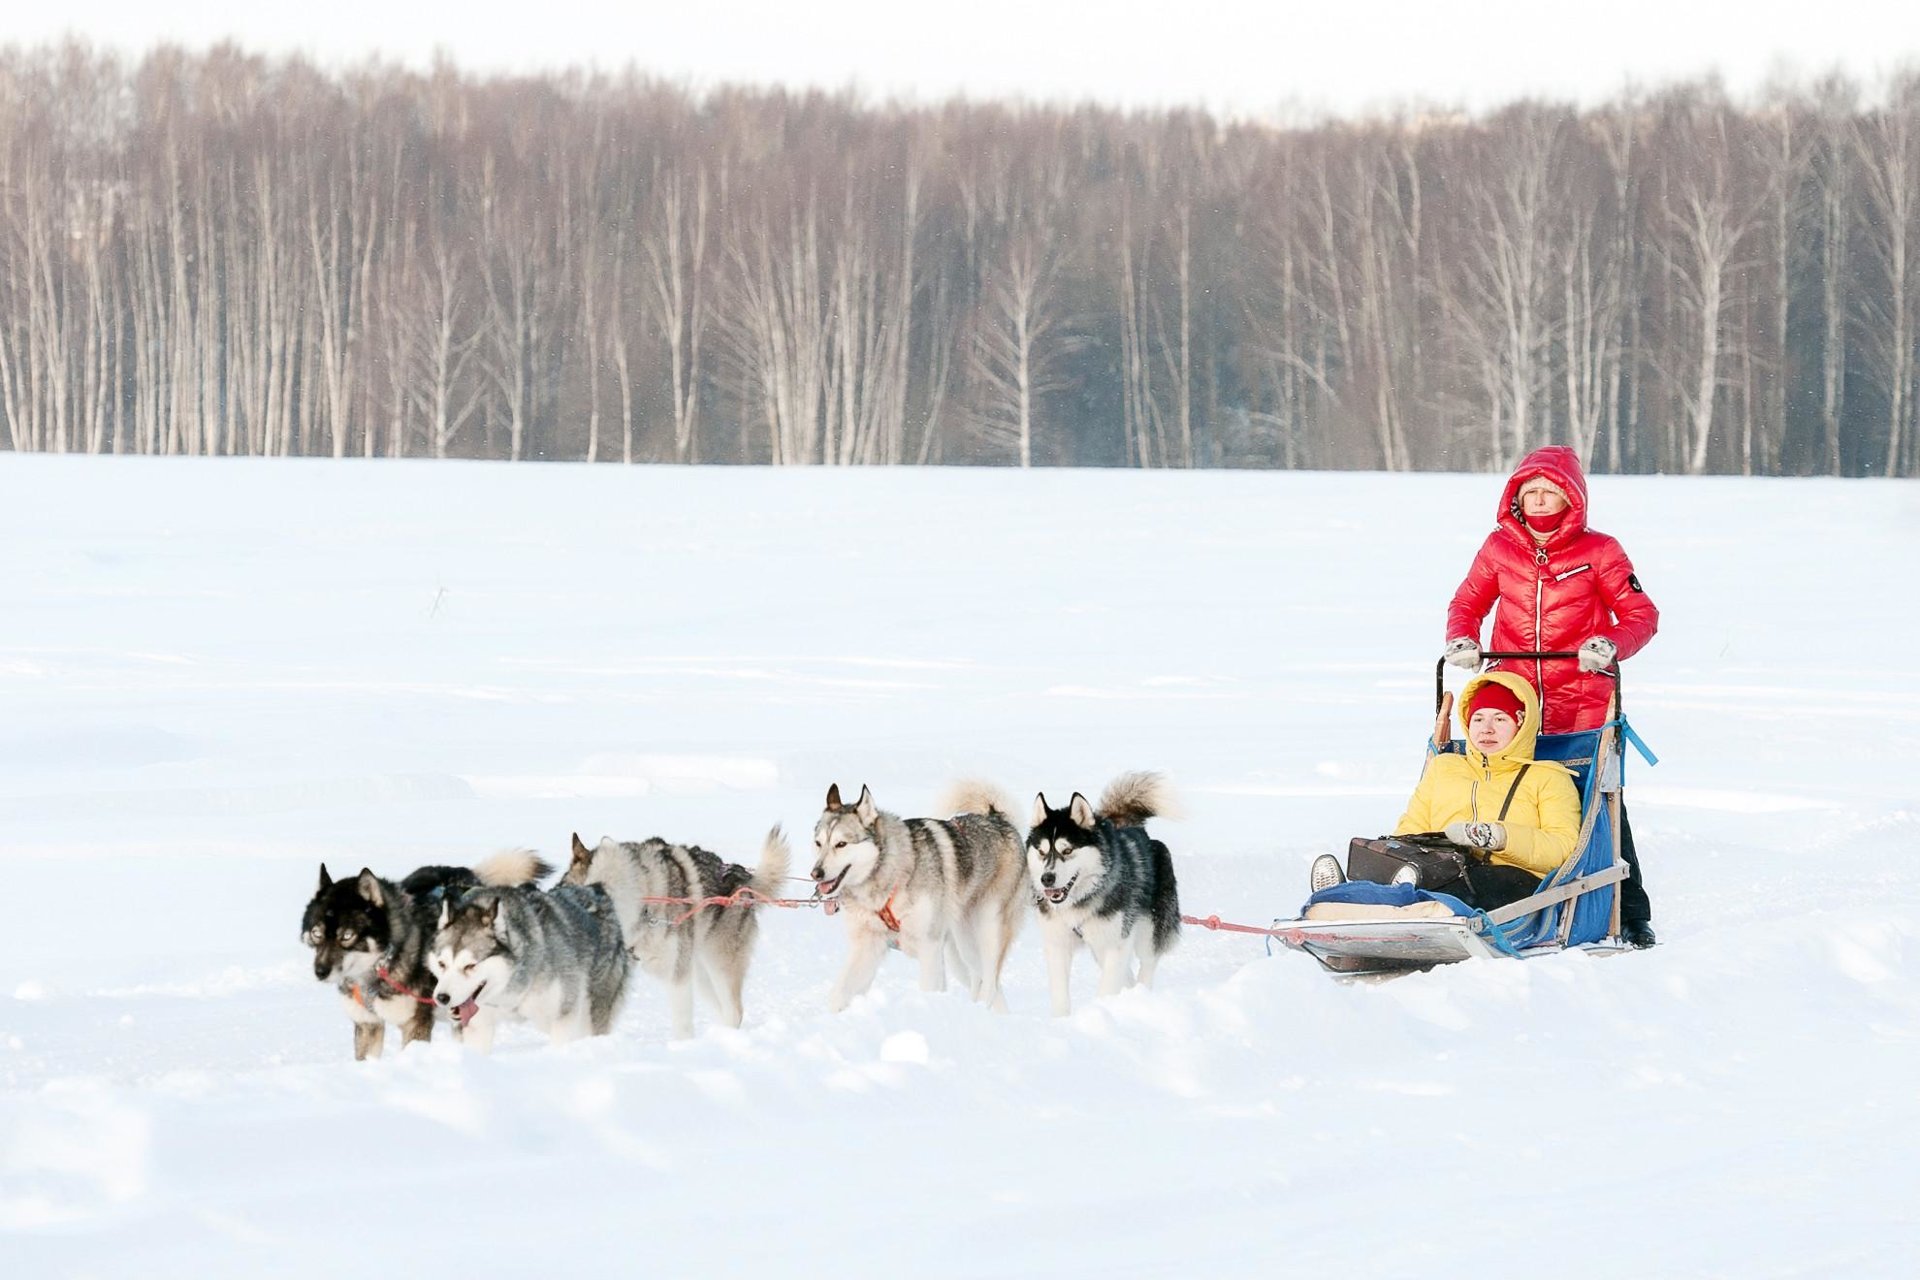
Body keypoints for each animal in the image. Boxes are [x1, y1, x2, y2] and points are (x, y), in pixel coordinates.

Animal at [430, 882, 629, 1051]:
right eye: (442, 964)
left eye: (470, 966)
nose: (442, 997)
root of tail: (595, 889)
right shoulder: (478, 1025)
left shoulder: (563, 1016)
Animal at [560, 832, 787, 1043]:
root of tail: (743, 878)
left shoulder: (677, 974)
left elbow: (682, 1024)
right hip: (699, 974)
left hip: (718, 964)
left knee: (734, 1011)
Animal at [806, 775, 1029, 1013]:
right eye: (818, 843)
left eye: (841, 844)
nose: (816, 873)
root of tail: (997, 818)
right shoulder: (868, 947)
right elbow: (839, 992)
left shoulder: (928, 946)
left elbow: (928, 990)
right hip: (959, 953)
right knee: (986, 983)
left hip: (985, 932)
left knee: (990, 983)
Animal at [1029, 775, 1175, 1013]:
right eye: (1042, 852)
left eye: (1067, 850)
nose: (1046, 878)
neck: (1079, 901)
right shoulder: (1058, 944)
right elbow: (1060, 995)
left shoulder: (1117, 942)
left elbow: (1107, 986)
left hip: (1147, 932)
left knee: (1146, 965)